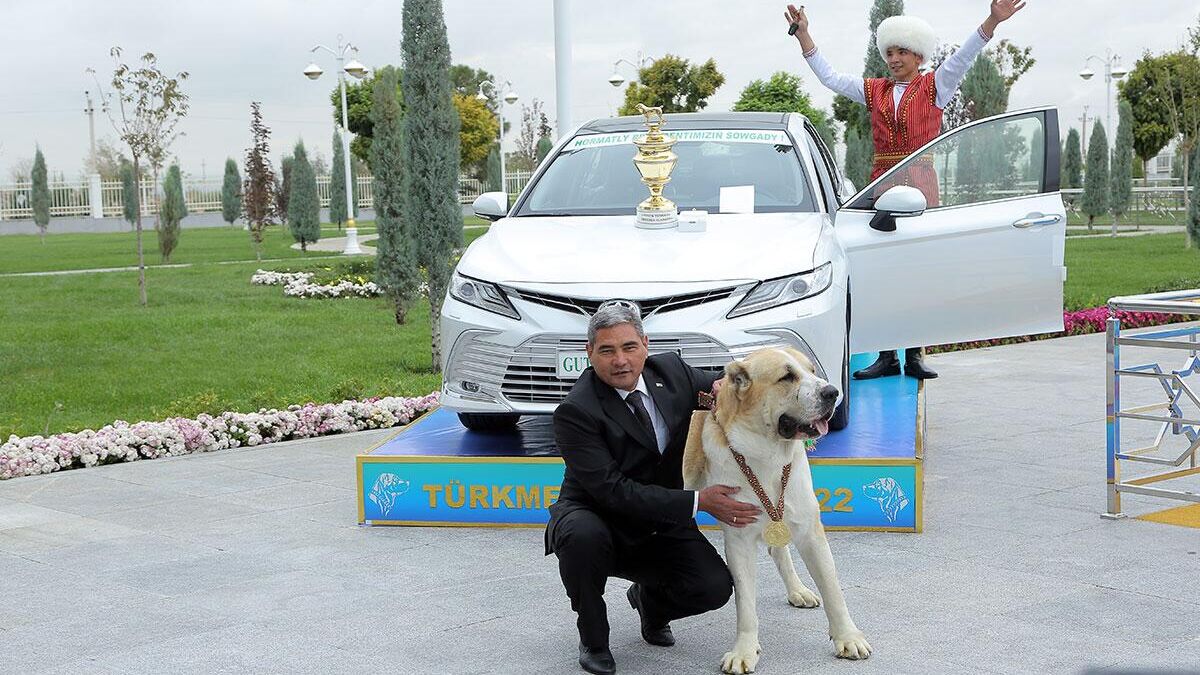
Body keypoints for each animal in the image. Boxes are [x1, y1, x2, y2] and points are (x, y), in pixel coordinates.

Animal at [686, 345, 873, 667]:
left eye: (812, 370)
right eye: (787, 377)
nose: (832, 392)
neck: (767, 456)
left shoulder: (809, 529)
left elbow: (833, 588)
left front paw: (847, 637)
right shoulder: (739, 538)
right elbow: (745, 602)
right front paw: (745, 650)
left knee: (779, 550)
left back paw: (798, 590)